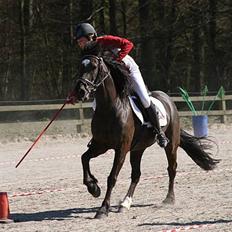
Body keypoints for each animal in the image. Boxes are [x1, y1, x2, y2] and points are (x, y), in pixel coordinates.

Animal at [74, 41, 219, 219]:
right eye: (80, 66)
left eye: (94, 66)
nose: (80, 91)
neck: (109, 108)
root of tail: (168, 99)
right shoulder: (100, 145)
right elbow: (84, 158)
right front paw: (93, 187)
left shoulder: (121, 148)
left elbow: (112, 177)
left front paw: (103, 209)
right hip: (138, 148)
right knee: (136, 174)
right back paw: (125, 203)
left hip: (171, 144)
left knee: (171, 168)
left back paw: (169, 199)